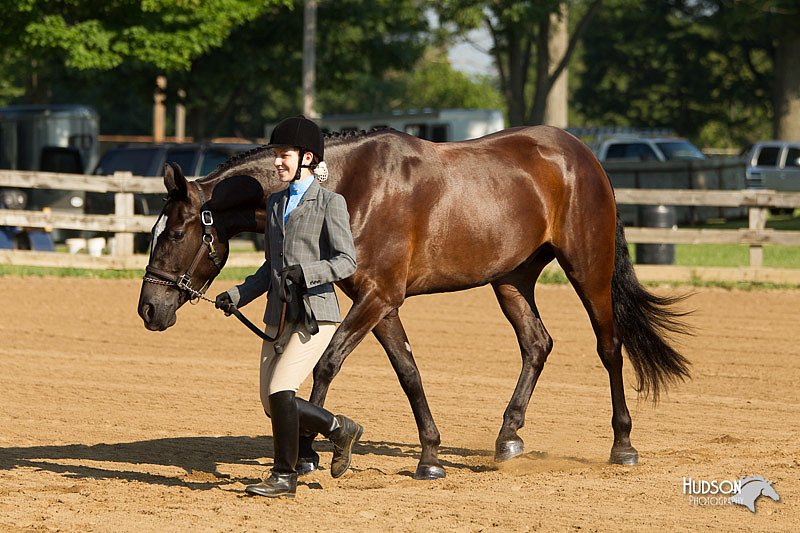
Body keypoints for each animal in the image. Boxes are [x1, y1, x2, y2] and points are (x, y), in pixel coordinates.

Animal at [138, 124, 688, 478]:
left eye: (177, 233)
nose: (148, 309)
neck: (350, 185)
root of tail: (584, 156)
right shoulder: (381, 303)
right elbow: (408, 372)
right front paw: (429, 457)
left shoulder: (378, 297)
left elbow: (328, 364)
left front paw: (312, 453)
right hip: (511, 279)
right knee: (537, 344)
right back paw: (508, 438)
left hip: (587, 269)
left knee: (609, 348)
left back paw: (622, 445)